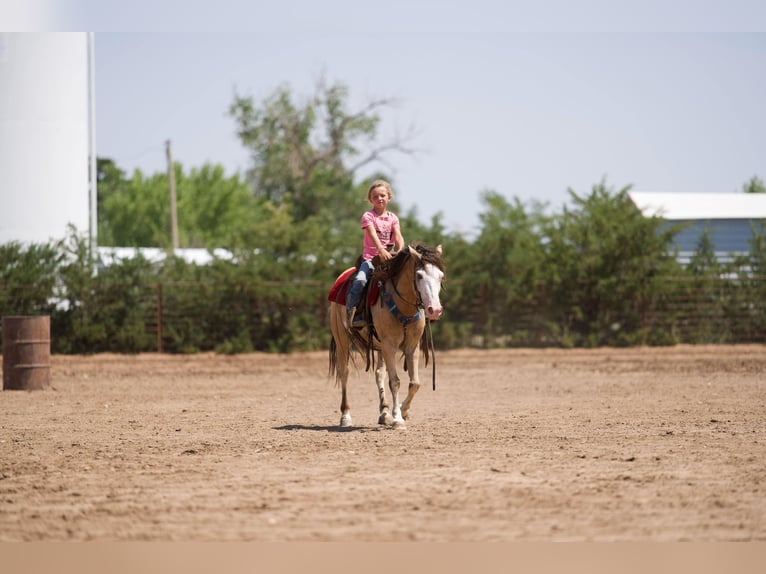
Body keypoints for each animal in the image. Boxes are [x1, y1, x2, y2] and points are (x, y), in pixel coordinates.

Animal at [328, 242, 445, 429]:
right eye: (419, 275)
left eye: (441, 276)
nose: (435, 310)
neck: (403, 306)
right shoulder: (390, 345)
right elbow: (395, 381)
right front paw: (397, 419)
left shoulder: (412, 346)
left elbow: (415, 383)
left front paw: (403, 411)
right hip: (342, 339)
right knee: (344, 372)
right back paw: (345, 416)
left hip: (379, 347)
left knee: (379, 374)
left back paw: (384, 413)